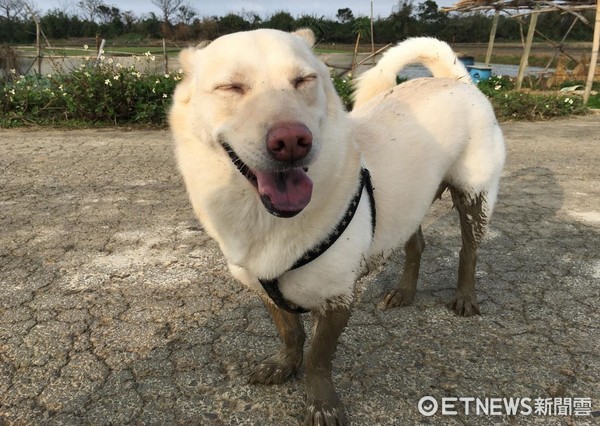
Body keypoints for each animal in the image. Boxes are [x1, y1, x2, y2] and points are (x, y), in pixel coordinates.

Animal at [170, 28, 506, 424]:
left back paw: (465, 296)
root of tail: (454, 80)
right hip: (412, 202)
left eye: (304, 80)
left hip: (474, 195)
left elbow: (318, 357)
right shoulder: (263, 287)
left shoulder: (337, 299)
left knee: (469, 250)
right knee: (415, 244)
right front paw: (284, 365)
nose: (292, 141)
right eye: (230, 87)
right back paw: (404, 292)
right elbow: (290, 333)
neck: (265, 219)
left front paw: (322, 404)